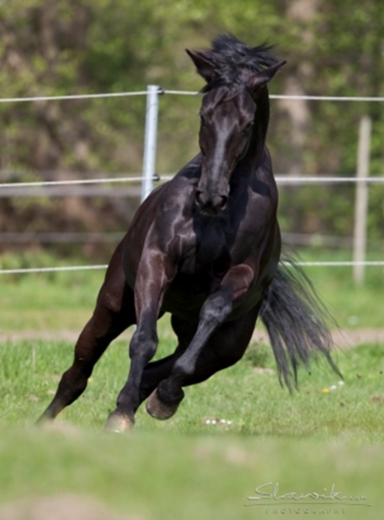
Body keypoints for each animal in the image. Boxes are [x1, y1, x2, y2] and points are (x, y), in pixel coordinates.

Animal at [38, 33, 340, 430]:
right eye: (204, 115)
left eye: (246, 122)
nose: (210, 195)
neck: (214, 218)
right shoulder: (157, 261)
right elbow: (144, 340)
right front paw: (121, 414)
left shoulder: (240, 274)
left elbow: (210, 314)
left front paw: (159, 402)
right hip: (114, 305)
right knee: (79, 371)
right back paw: (47, 422)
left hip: (225, 346)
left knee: (168, 367)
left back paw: (157, 397)